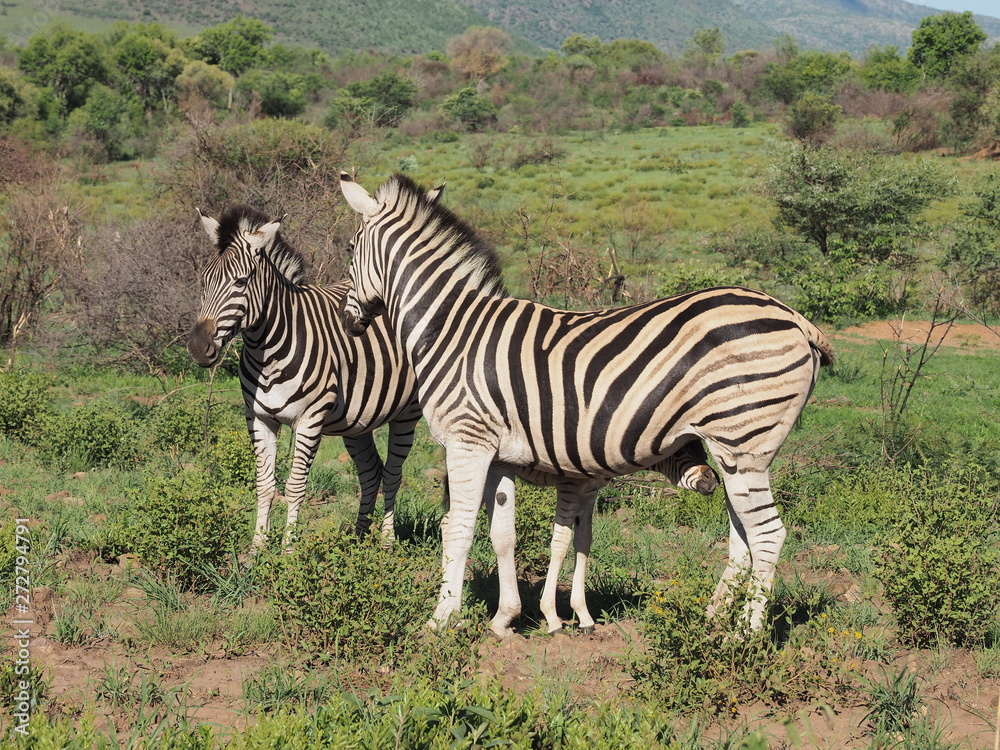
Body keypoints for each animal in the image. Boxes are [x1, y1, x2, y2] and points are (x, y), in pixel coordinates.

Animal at [186, 204, 422, 553]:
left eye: (240, 282)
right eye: (204, 281)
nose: (198, 348)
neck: (267, 349)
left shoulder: (310, 420)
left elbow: (295, 486)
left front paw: (288, 551)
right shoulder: (258, 417)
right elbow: (264, 484)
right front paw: (256, 549)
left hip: (409, 412)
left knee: (393, 473)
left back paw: (387, 542)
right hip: (357, 421)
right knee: (371, 472)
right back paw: (358, 538)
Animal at [338, 172, 834, 639]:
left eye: (349, 249)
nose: (349, 321)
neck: (450, 328)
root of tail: (794, 315)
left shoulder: (467, 442)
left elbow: (457, 530)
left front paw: (441, 619)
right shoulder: (499, 456)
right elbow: (503, 535)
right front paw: (505, 618)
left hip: (744, 441)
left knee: (768, 535)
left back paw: (744, 637)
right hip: (732, 452)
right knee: (743, 536)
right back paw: (714, 621)